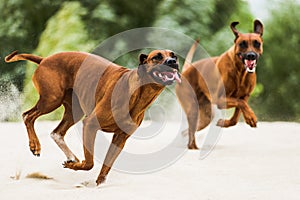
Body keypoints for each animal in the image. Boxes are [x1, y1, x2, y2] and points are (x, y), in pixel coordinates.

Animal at [5, 49, 180, 185]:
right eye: (157, 57)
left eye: (174, 55)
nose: (173, 61)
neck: (138, 93)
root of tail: (44, 59)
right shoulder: (90, 124)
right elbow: (89, 163)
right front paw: (77, 167)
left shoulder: (120, 138)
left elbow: (106, 166)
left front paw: (98, 183)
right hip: (51, 100)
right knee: (28, 116)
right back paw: (35, 145)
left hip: (73, 110)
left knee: (57, 132)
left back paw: (71, 157)